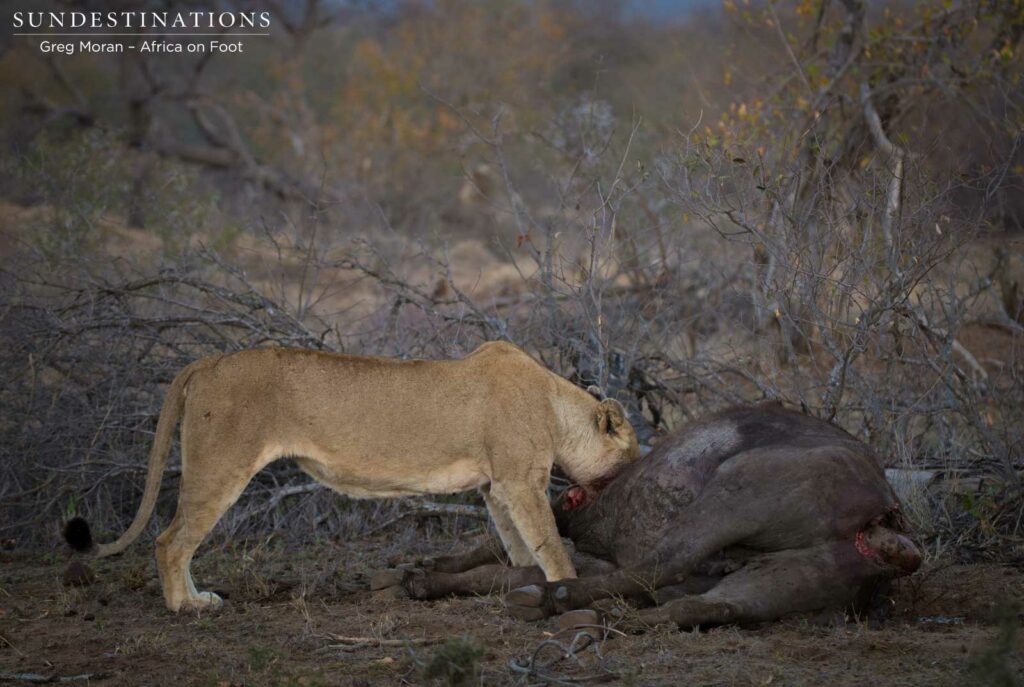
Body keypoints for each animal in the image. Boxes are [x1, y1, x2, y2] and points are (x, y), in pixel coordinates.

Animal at [63, 341, 640, 612]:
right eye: (632, 452)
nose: (639, 470)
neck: (555, 406)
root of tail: (207, 362)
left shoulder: (496, 487)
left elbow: (519, 546)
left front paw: (521, 584)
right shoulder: (520, 481)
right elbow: (550, 544)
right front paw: (566, 589)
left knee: (176, 539)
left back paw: (197, 598)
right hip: (220, 465)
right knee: (170, 540)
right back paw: (187, 607)